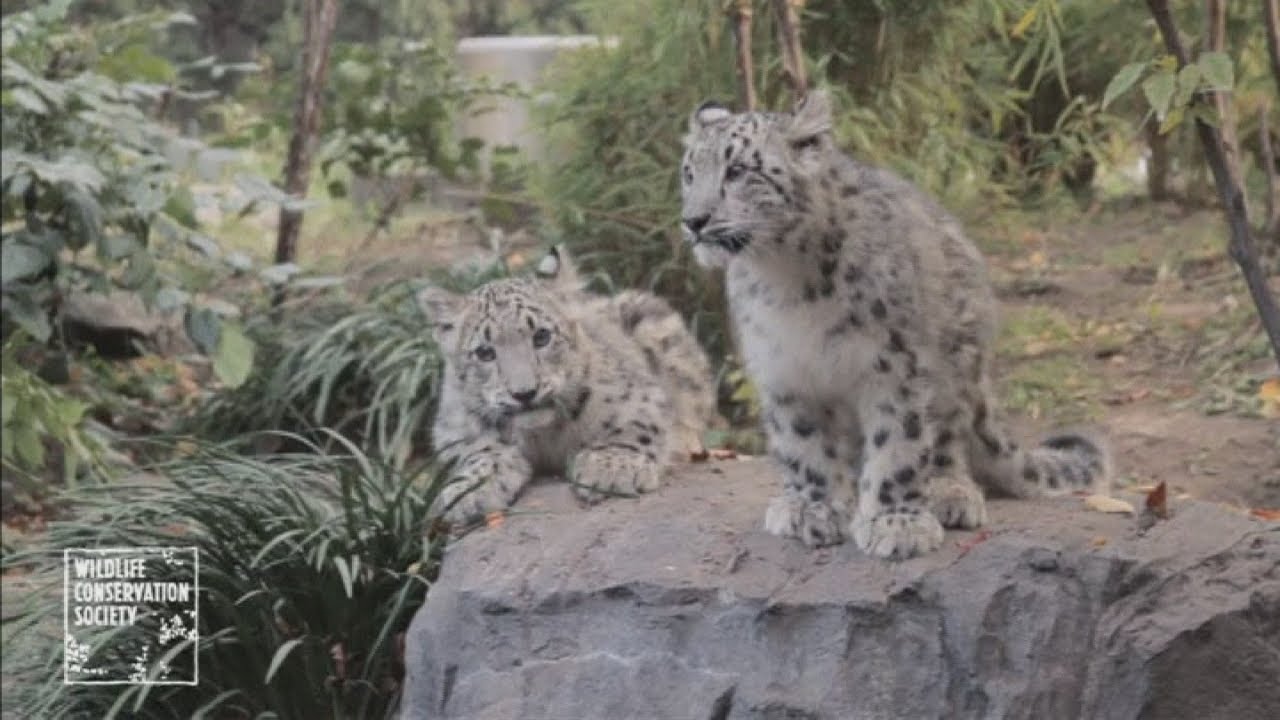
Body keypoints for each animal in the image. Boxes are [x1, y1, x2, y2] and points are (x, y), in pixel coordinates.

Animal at [420, 246, 716, 525]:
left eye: (541, 336)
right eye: (484, 352)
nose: (525, 393)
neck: (544, 438)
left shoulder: (641, 396)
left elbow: (637, 426)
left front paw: (611, 468)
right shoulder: (455, 430)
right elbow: (480, 452)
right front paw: (468, 491)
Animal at [679, 89, 1110, 559]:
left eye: (738, 170)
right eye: (689, 172)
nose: (693, 221)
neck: (786, 279)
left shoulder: (893, 364)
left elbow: (898, 444)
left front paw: (896, 523)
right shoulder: (783, 371)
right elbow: (804, 444)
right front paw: (814, 507)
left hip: (956, 371)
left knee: (948, 442)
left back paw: (949, 492)